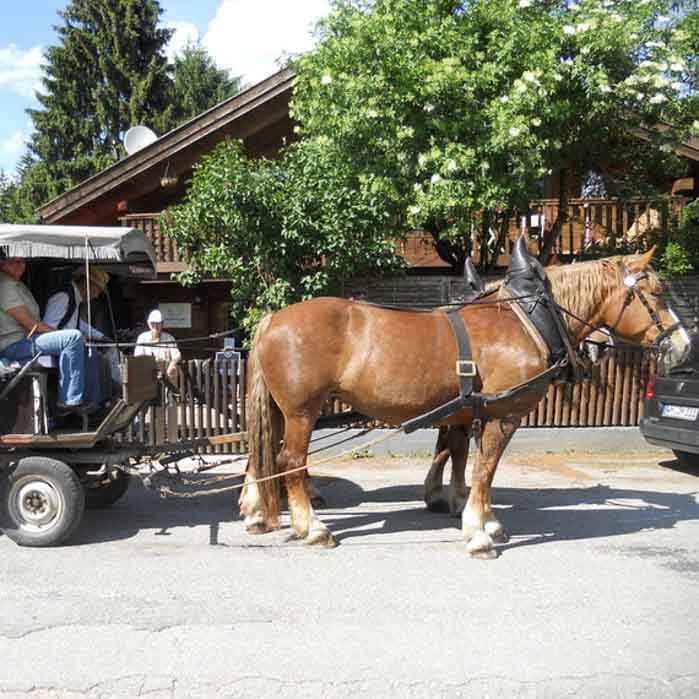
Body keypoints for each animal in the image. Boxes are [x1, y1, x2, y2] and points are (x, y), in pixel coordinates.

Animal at [239, 250, 672, 556]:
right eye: (655, 294)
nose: (680, 344)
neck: (524, 320)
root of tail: (274, 318)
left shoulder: (468, 409)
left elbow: (461, 457)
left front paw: (470, 511)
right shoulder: (504, 414)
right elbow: (484, 467)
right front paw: (479, 531)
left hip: (283, 410)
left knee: (265, 453)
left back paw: (262, 510)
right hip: (301, 411)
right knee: (289, 461)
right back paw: (311, 527)